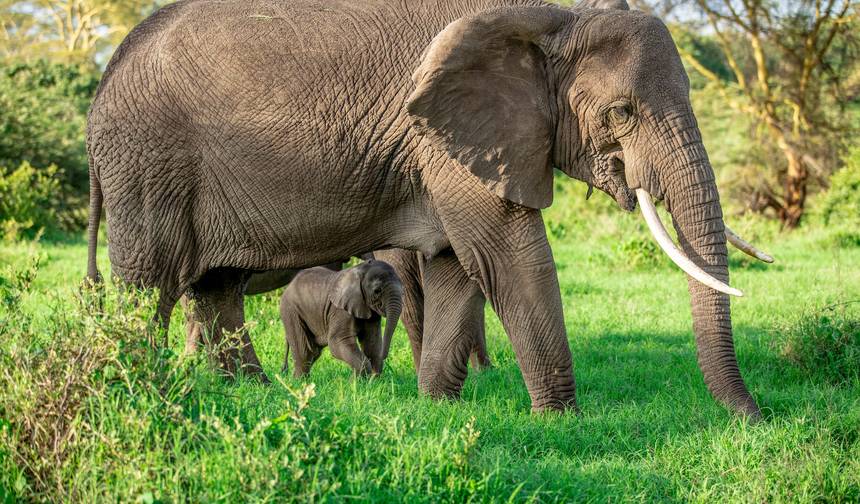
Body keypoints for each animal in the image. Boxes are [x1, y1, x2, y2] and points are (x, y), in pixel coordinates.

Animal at [86, 0, 773, 415]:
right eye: (622, 113)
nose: (755, 417)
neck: (553, 17)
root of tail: (107, 75)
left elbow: (458, 266)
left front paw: (436, 407)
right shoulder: (444, 137)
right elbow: (506, 253)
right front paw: (562, 420)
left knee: (215, 287)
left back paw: (252, 398)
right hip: (147, 163)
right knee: (148, 285)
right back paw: (136, 394)